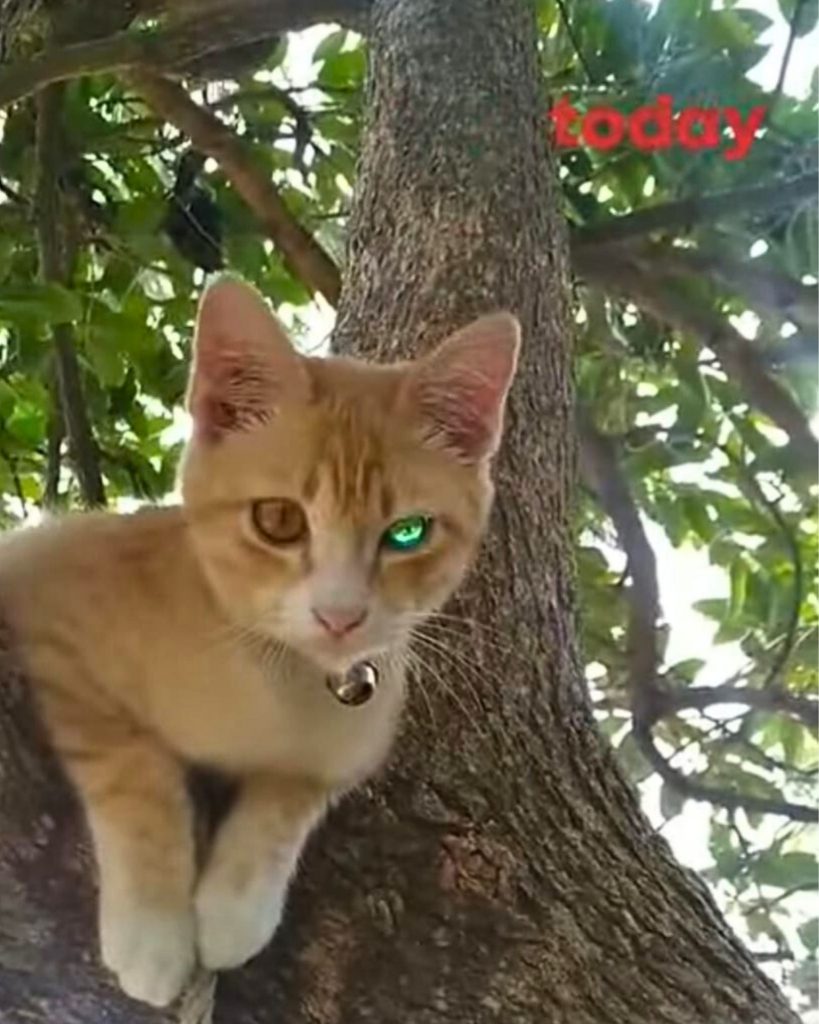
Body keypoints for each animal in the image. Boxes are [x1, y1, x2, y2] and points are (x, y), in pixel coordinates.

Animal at [0, 278, 522, 1007]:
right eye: (278, 520)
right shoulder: (45, 589)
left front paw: (234, 906)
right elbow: (134, 768)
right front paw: (153, 931)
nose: (340, 615)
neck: (269, 678)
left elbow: (294, 793)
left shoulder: (358, 735)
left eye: (408, 533)